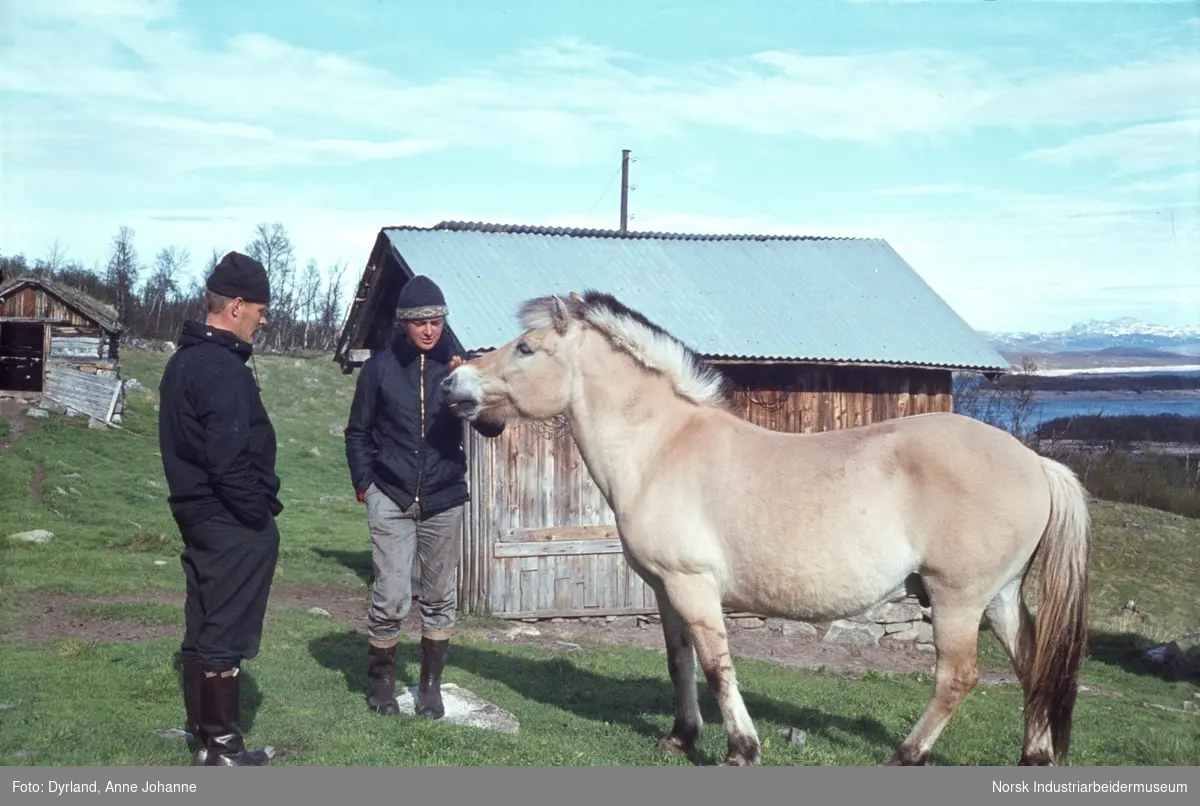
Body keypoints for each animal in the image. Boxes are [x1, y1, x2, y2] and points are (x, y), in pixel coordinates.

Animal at [439, 287, 1089, 767]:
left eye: (526, 348)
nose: (451, 384)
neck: (660, 449)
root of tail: (1036, 463)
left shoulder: (693, 585)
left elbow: (717, 663)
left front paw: (740, 749)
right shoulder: (665, 590)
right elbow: (679, 661)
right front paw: (681, 737)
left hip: (958, 600)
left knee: (957, 677)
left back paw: (905, 756)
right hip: (999, 598)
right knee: (1031, 665)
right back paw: (1034, 757)